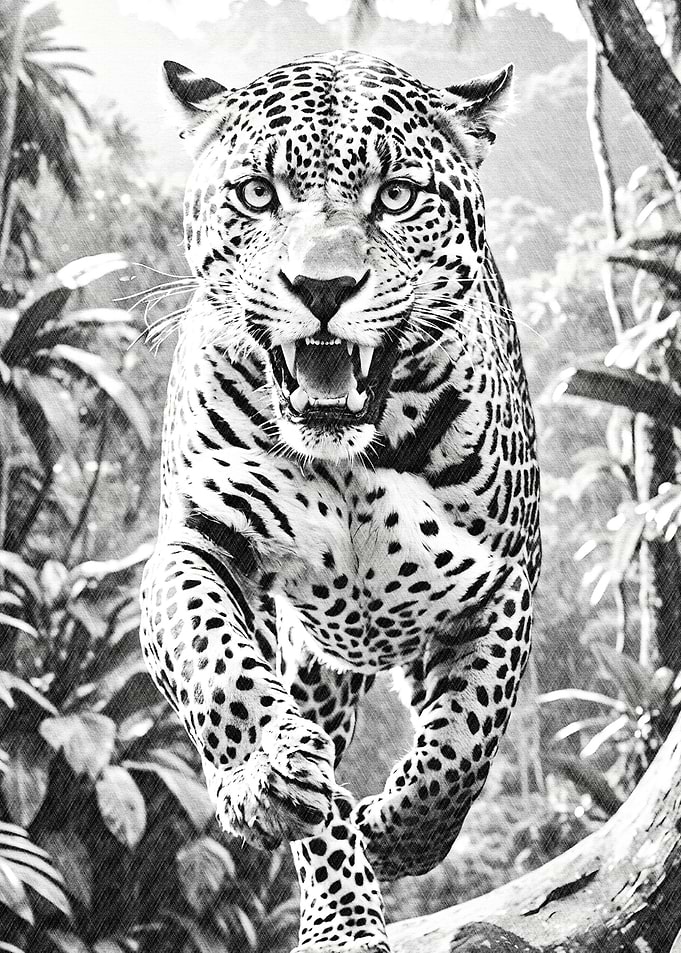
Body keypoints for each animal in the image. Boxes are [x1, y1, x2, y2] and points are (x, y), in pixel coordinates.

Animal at [140, 50, 540, 953]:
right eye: (259, 193)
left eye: (394, 195)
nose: (321, 288)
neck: (348, 459)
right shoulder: (198, 540)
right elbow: (214, 661)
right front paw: (261, 773)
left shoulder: (502, 580)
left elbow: (464, 741)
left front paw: (397, 831)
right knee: (313, 780)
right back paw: (339, 913)